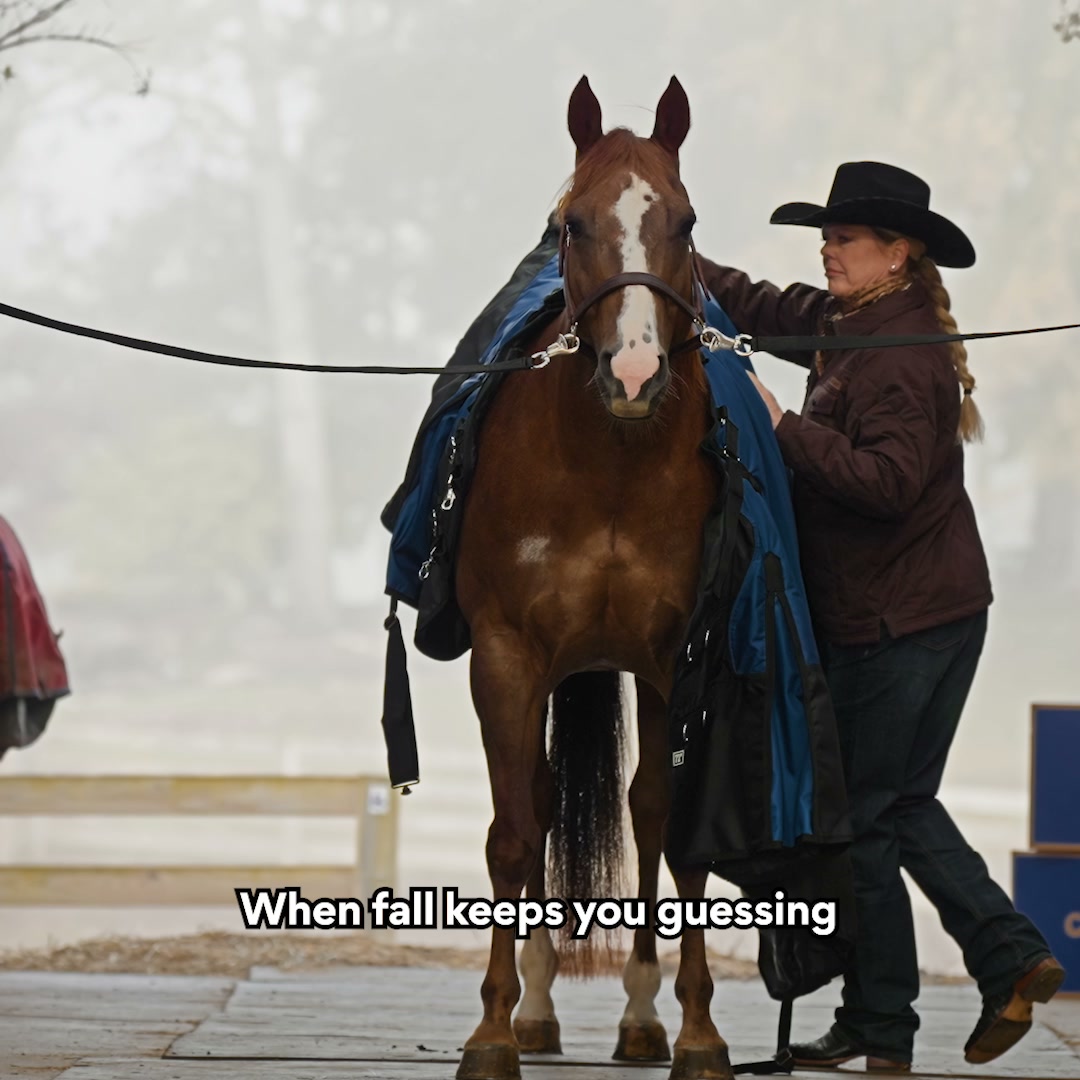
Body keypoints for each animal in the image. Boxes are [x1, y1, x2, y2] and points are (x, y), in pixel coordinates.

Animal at [454, 75, 733, 1080]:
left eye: (685, 221)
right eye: (572, 224)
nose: (636, 370)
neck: (610, 462)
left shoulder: (686, 656)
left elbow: (676, 829)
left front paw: (694, 1032)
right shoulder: (505, 656)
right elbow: (512, 833)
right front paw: (493, 1030)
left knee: (646, 810)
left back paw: (643, 1016)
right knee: (536, 801)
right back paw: (534, 1007)